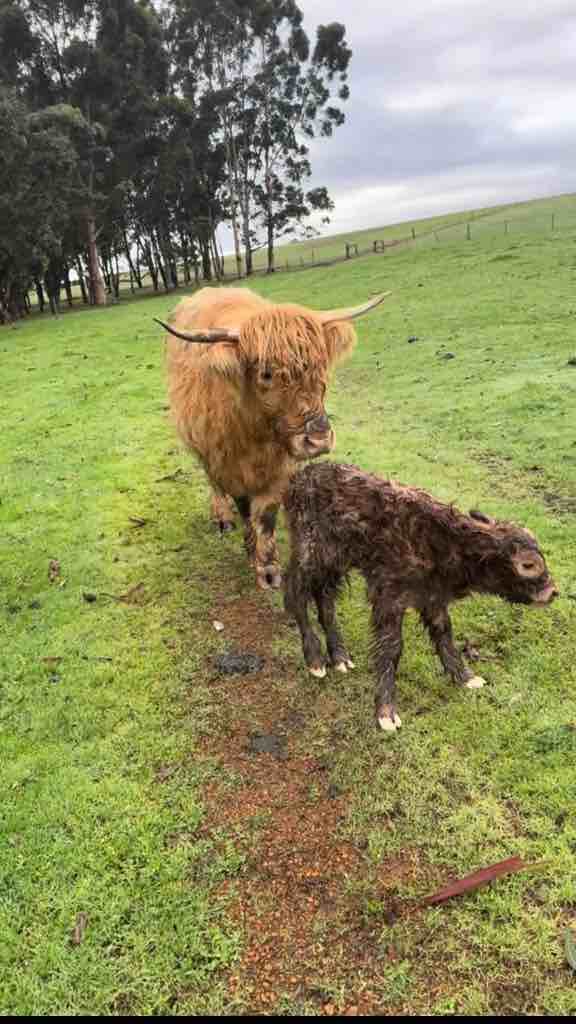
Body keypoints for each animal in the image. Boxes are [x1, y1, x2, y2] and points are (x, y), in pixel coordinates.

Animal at [156, 286, 389, 589]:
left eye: (321, 366)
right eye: (266, 374)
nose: (318, 439)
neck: (256, 432)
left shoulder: (281, 466)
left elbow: (266, 515)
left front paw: (268, 568)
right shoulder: (229, 464)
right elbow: (244, 507)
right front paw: (251, 551)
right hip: (200, 446)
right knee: (213, 481)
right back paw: (222, 517)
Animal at [283, 461, 558, 731]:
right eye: (528, 565)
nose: (553, 592)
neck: (442, 545)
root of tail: (301, 476)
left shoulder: (433, 598)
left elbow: (444, 635)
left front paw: (466, 678)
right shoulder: (389, 595)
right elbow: (391, 648)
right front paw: (386, 713)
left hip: (334, 562)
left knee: (324, 599)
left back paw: (340, 657)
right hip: (310, 552)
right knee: (295, 591)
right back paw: (315, 659)